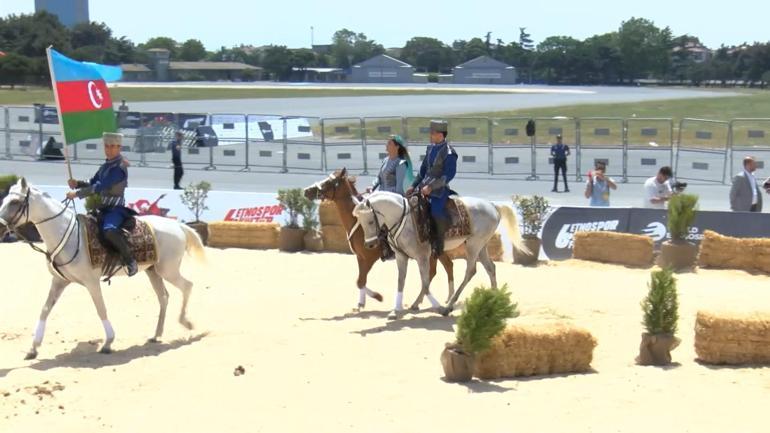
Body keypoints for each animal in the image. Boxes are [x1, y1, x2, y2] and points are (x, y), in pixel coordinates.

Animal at [0, 177, 204, 360]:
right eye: (5, 200)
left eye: (15, 202)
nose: (1, 227)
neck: (69, 234)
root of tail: (177, 225)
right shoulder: (59, 281)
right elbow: (44, 309)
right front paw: (33, 348)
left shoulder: (91, 282)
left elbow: (101, 309)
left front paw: (108, 342)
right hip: (153, 271)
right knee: (163, 297)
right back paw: (156, 335)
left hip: (168, 271)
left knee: (188, 286)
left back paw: (186, 323)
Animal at [302, 167, 456, 312]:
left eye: (328, 182)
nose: (307, 191)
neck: (359, 222)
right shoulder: (360, 258)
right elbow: (361, 281)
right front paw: (361, 303)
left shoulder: (369, 258)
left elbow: (360, 281)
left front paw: (378, 297)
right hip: (436, 252)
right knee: (444, 267)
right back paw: (436, 300)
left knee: (439, 270)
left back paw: (443, 300)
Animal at [350, 192, 524, 318]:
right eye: (360, 222)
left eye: (370, 221)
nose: (370, 244)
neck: (403, 220)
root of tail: (492, 205)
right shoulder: (401, 257)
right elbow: (401, 281)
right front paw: (396, 309)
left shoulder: (422, 257)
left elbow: (425, 282)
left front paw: (437, 306)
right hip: (481, 247)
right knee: (490, 268)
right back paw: (494, 302)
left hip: (473, 246)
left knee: (470, 271)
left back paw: (449, 306)